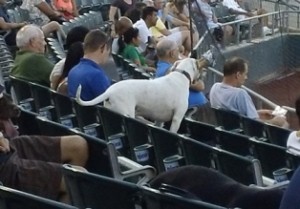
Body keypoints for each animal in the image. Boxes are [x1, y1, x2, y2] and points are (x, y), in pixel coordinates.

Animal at [75, 57, 211, 132]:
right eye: (196, 61)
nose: (206, 60)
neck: (181, 75)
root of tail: (109, 91)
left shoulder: (159, 119)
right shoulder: (177, 118)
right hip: (127, 112)